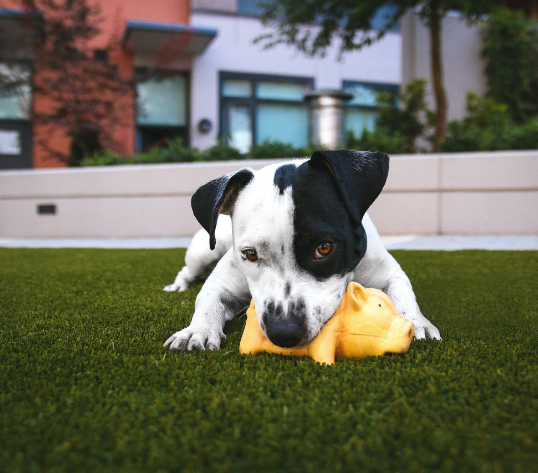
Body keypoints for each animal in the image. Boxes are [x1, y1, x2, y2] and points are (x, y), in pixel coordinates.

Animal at [163, 149, 440, 352]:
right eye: (250, 254)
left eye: (324, 248)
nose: (283, 332)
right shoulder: (221, 284)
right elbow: (208, 301)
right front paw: (196, 330)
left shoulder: (389, 273)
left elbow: (403, 293)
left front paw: (416, 322)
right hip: (204, 251)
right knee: (187, 270)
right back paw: (178, 286)